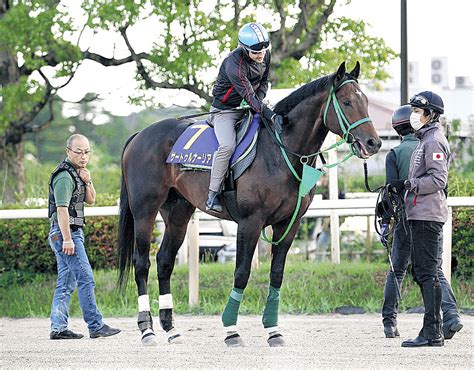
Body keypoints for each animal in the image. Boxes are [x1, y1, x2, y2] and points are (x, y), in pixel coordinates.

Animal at [117, 60, 382, 346]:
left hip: (178, 214)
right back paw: (147, 329)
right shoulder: (250, 222)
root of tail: (139, 136)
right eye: (346, 102)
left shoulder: (288, 224)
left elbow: (276, 274)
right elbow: (242, 273)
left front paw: (273, 329)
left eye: (366, 101)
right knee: (142, 263)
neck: (280, 150)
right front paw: (231, 330)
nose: (373, 142)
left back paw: (171, 328)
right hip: (144, 211)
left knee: (165, 261)